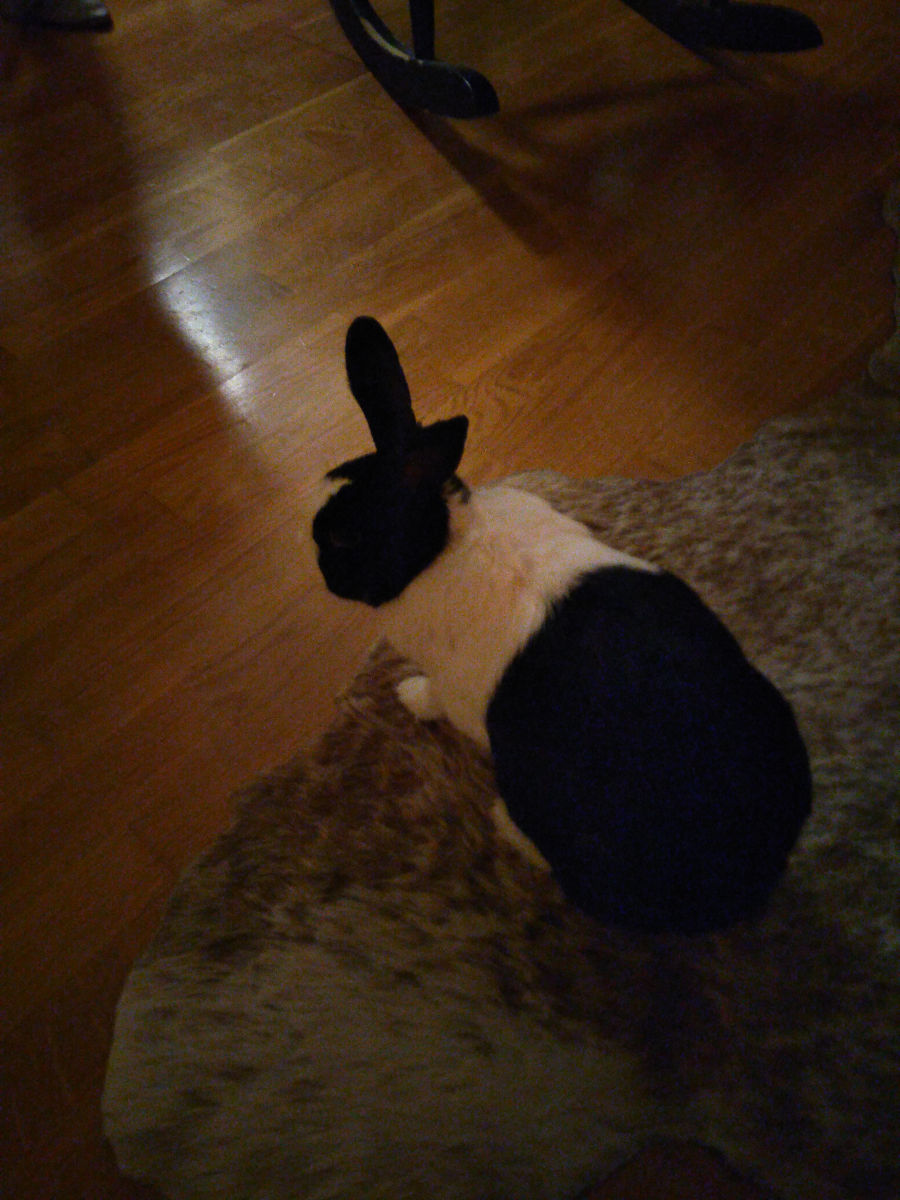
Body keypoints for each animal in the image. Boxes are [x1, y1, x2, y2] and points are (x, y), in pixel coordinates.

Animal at [312, 316, 813, 934]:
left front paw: (407, 694)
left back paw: (504, 824)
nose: (320, 566)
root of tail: (752, 874)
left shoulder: (457, 693)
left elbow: (433, 698)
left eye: (341, 538)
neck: (444, 542)